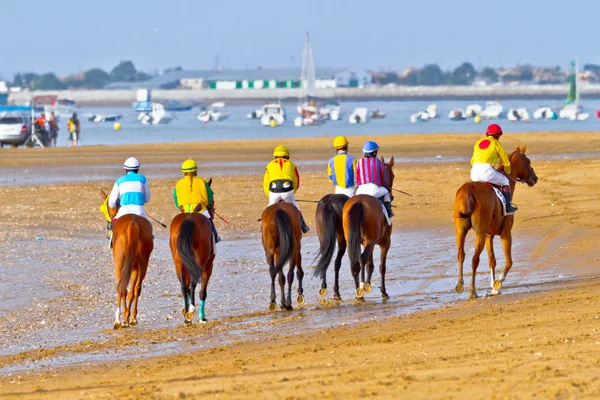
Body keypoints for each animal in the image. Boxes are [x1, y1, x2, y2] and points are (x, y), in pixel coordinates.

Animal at [99, 191, 154, 328]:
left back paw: (118, 320)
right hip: (143, 263)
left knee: (121, 288)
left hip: (119, 262)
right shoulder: (134, 267)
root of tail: (133, 224)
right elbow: (132, 291)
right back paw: (132, 318)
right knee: (137, 289)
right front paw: (128, 317)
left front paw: (124, 318)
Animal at [342, 156, 394, 300]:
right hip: (371, 241)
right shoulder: (384, 242)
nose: (392, 195)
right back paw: (361, 288)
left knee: (355, 261)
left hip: (354, 240)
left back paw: (358, 290)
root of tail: (360, 201)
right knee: (362, 258)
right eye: (392, 175)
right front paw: (383, 291)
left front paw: (368, 284)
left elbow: (370, 264)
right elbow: (381, 266)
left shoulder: (365, 241)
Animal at [454, 145, 540, 298]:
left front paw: (493, 285)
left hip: (461, 230)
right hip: (480, 233)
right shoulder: (506, 233)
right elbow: (509, 261)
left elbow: (492, 260)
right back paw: (473, 290)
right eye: (528, 161)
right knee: (475, 259)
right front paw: (498, 284)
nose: (535, 178)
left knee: (461, 255)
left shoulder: (489, 235)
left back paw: (460, 285)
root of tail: (469, 189)